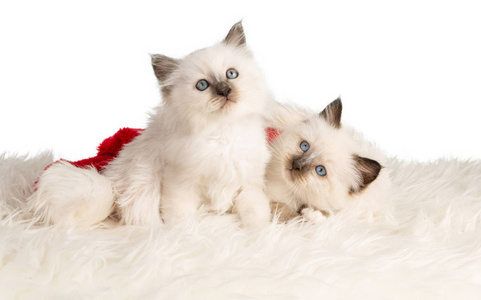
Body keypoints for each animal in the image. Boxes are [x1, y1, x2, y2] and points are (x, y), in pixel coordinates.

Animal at [28, 21, 272, 227]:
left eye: (231, 74)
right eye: (202, 85)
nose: (224, 91)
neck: (223, 132)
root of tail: (110, 179)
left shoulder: (249, 185)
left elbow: (256, 215)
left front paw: (259, 235)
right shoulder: (181, 186)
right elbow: (182, 221)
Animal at [264, 98, 392, 223]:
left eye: (320, 170)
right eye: (304, 146)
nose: (296, 165)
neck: (290, 191)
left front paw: (313, 214)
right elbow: (286, 213)